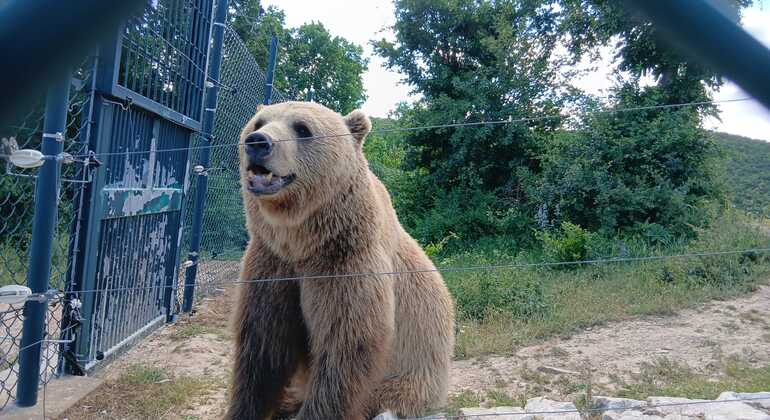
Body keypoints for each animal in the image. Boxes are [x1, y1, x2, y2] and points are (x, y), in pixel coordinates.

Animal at [226, 101, 455, 420]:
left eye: (302, 128)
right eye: (258, 122)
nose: (258, 142)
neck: (302, 242)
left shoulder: (346, 261)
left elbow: (345, 345)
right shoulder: (272, 262)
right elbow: (262, 344)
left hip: (409, 376)